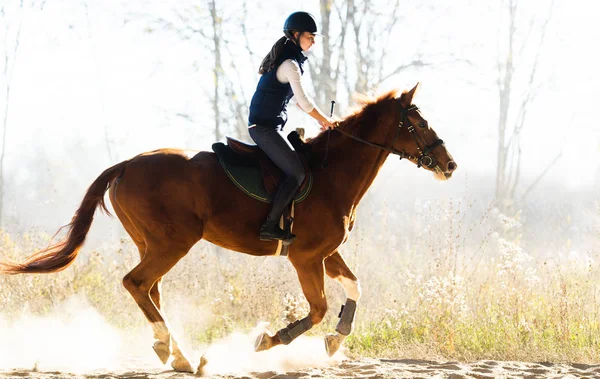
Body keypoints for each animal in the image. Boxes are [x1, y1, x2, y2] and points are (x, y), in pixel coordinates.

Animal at [0, 84, 454, 374]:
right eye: (418, 124)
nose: (449, 165)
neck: (331, 173)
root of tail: (127, 164)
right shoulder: (306, 257)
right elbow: (318, 308)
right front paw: (268, 341)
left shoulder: (325, 253)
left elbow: (355, 287)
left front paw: (336, 340)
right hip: (172, 243)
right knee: (136, 283)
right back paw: (175, 352)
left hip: (154, 244)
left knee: (149, 290)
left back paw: (176, 353)